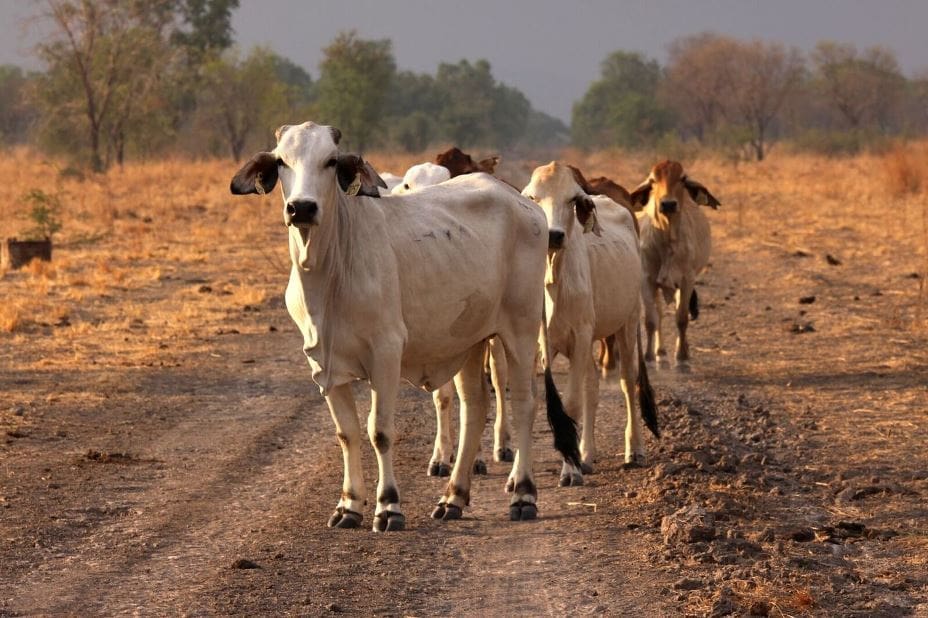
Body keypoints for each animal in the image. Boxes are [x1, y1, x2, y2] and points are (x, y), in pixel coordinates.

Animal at [230, 121, 580, 528]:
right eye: (282, 161)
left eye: (330, 161)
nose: (301, 207)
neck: (328, 271)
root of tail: (525, 204)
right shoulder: (323, 364)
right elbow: (347, 433)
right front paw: (348, 507)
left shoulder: (386, 353)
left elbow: (379, 431)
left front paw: (388, 506)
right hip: (469, 338)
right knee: (474, 407)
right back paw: (453, 498)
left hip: (519, 330)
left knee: (524, 402)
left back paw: (523, 495)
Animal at [520, 160, 660, 482]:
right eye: (533, 197)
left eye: (572, 199)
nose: (554, 235)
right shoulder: (538, 344)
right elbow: (529, 405)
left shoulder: (581, 336)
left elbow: (571, 402)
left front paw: (570, 470)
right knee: (592, 386)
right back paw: (587, 454)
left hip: (627, 323)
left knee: (627, 381)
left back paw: (634, 450)